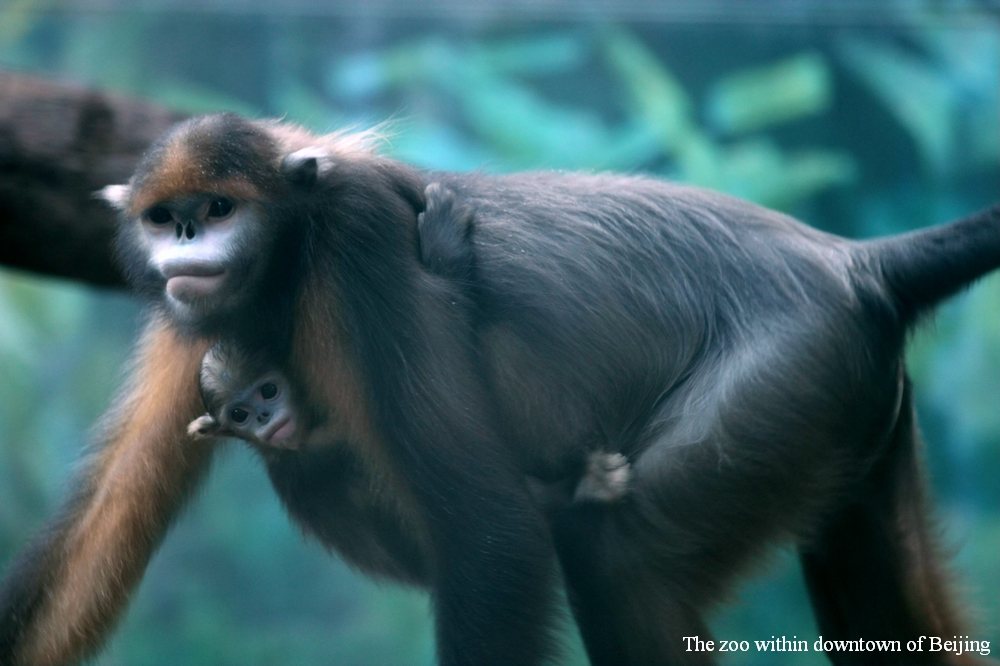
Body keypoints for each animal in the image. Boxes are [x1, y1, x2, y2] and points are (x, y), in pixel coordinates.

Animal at [0, 111, 997, 666]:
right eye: (165, 218)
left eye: (218, 210)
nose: (186, 246)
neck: (287, 265)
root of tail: (854, 262)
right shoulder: (196, 325)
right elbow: (88, 549)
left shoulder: (357, 247)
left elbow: (491, 531)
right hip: (847, 407)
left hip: (786, 372)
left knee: (614, 551)